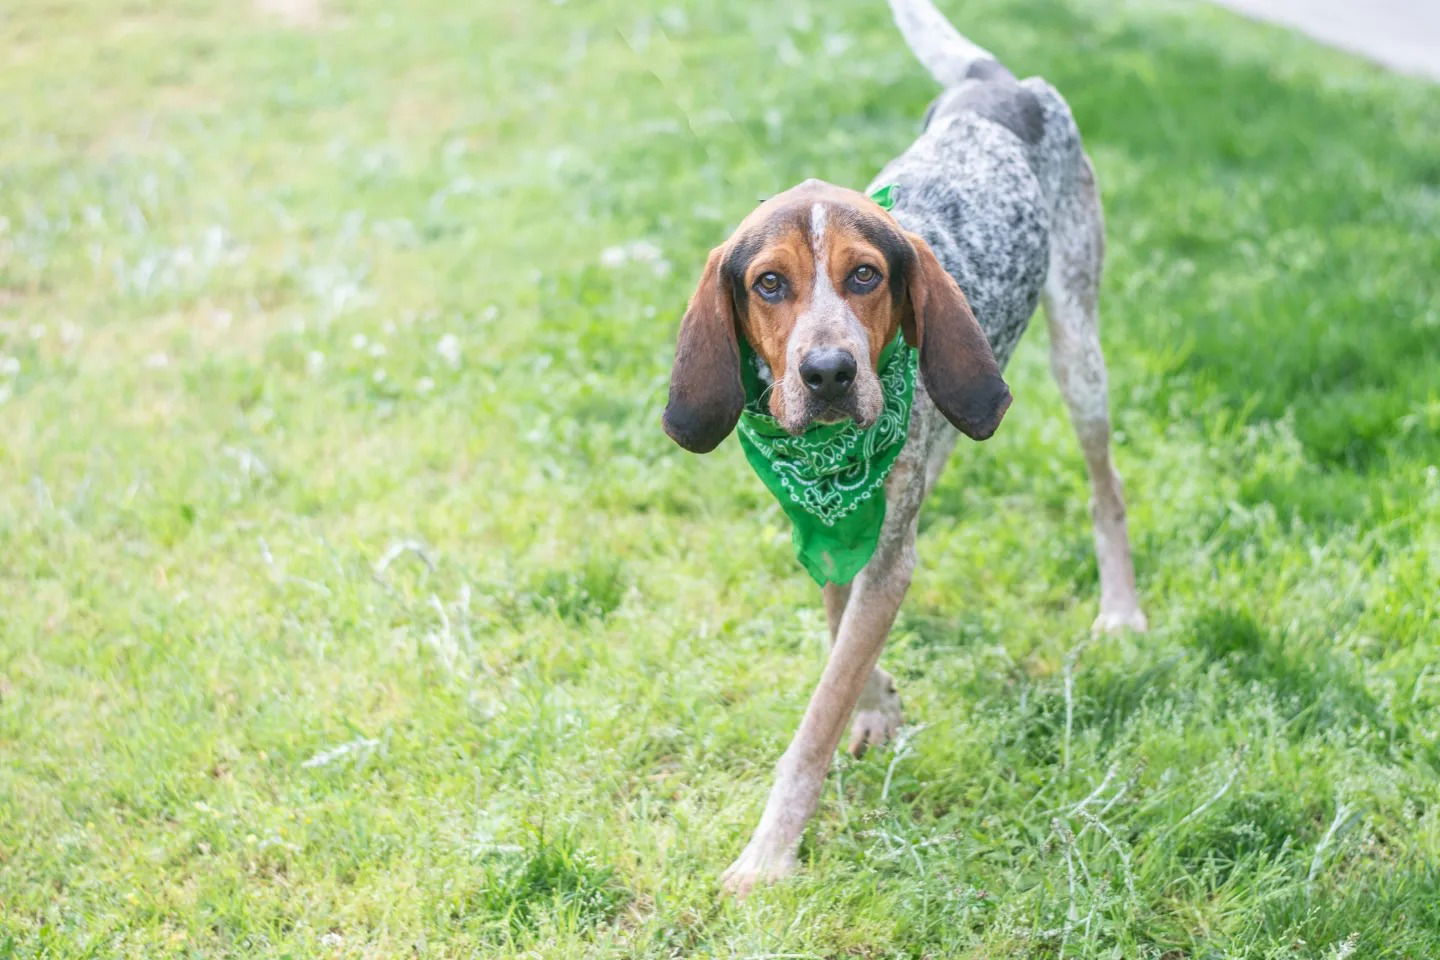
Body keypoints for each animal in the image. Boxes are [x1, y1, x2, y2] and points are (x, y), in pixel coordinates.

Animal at [662, 0, 1146, 898]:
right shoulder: (829, 523)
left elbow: (816, 720)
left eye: (865, 276)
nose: (827, 373)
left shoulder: (881, 546)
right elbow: (839, 636)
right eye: (769, 284)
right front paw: (877, 702)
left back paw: (1123, 611)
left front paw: (769, 854)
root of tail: (998, 86)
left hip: (1080, 357)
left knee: (1108, 492)